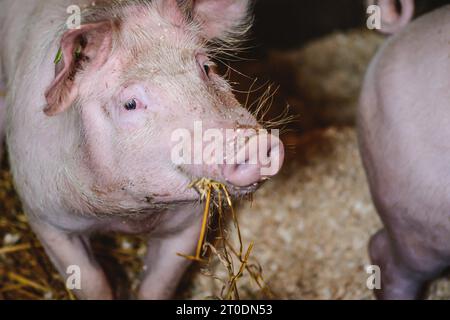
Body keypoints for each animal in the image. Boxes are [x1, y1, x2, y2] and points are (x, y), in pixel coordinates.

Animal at [0, 0, 284, 300]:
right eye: (131, 104)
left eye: (207, 67)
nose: (255, 143)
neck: (127, 217)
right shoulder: (44, 217)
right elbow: (92, 282)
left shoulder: (189, 225)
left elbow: (158, 285)